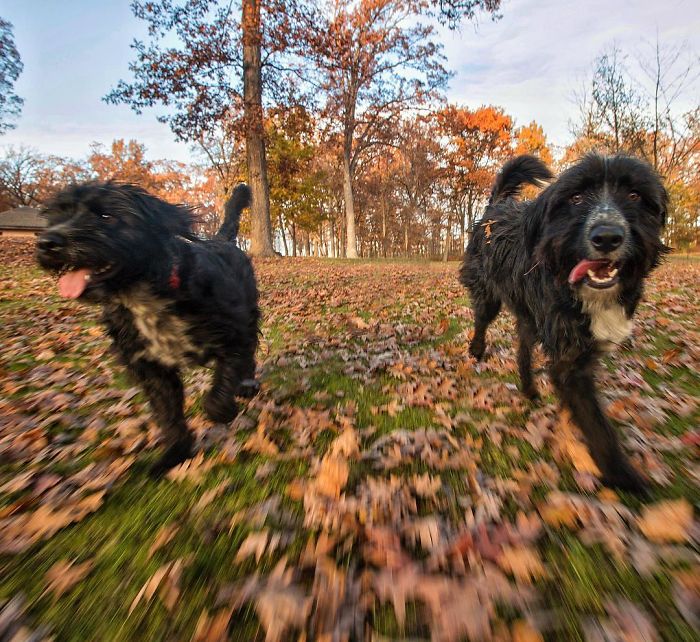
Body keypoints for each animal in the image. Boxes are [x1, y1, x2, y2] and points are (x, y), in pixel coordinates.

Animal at [36, 182, 260, 472]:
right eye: (58, 215)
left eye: (106, 216)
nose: (47, 242)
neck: (145, 295)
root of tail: (221, 240)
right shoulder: (150, 367)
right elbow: (168, 414)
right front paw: (175, 453)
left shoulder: (234, 333)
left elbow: (222, 385)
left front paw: (223, 409)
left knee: (250, 355)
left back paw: (246, 386)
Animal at [462, 152, 668, 492]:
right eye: (576, 197)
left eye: (634, 195)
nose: (607, 237)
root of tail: (495, 209)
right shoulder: (569, 363)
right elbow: (597, 426)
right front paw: (622, 475)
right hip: (489, 295)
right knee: (481, 322)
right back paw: (477, 351)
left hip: (529, 316)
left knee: (523, 348)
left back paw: (529, 390)